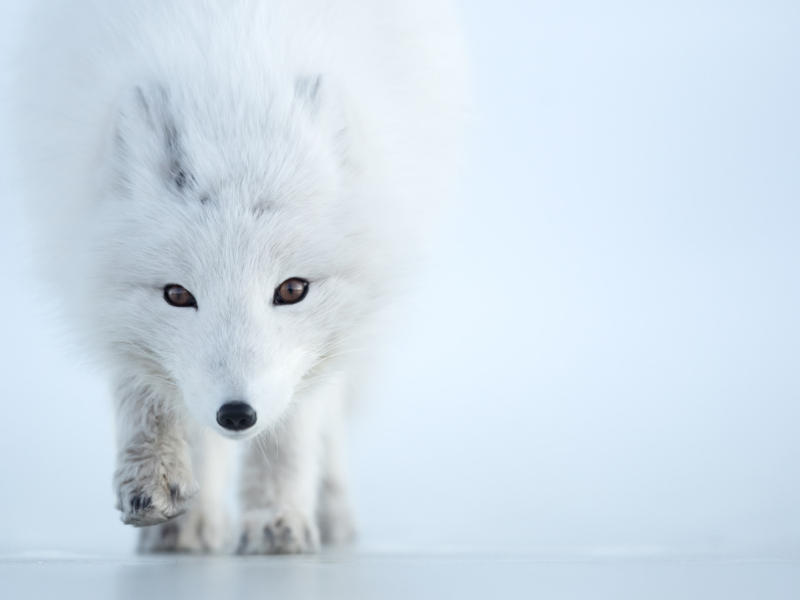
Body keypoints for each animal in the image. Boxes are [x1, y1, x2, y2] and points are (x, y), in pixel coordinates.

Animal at [12, 0, 468, 553]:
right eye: (177, 294)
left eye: (292, 289)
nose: (236, 414)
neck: (231, 78)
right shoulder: (88, 265)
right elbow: (144, 393)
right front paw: (155, 482)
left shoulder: (310, 354)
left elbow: (291, 431)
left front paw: (276, 517)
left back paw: (331, 513)